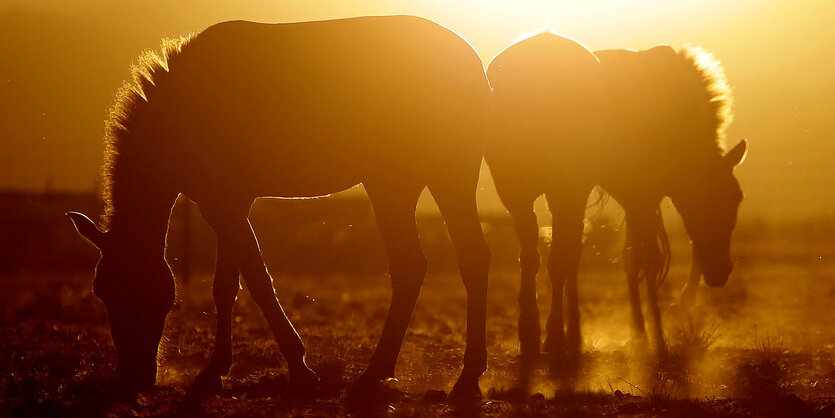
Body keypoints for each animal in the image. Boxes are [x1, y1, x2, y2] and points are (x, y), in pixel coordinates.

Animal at [68, 14, 494, 396]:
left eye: (133, 288)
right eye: (101, 291)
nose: (133, 376)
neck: (183, 109)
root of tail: (474, 66)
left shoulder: (224, 206)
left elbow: (258, 282)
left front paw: (300, 368)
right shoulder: (226, 203)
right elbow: (226, 286)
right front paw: (214, 371)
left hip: (404, 183)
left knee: (417, 266)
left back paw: (389, 374)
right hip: (428, 181)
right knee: (459, 260)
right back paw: (458, 377)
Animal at [486, 33, 748, 360]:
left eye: (736, 198)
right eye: (716, 197)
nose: (721, 272)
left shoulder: (634, 197)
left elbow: (630, 258)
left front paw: (640, 334)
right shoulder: (641, 194)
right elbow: (647, 258)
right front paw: (656, 338)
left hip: (533, 191)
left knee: (553, 254)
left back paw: (552, 335)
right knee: (562, 255)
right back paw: (559, 336)